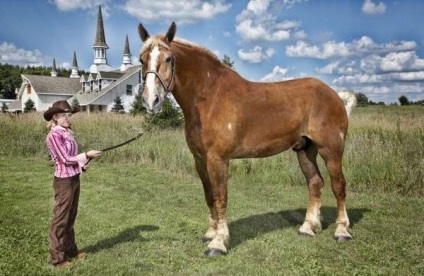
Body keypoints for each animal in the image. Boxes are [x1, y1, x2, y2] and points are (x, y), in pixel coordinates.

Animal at [137, 22, 356, 256]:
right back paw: (308, 227)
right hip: (305, 150)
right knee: (315, 183)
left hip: (331, 150)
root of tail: (335, 95)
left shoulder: (218, 159)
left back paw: (342, 231)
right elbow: (209, 196)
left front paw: (219, 243)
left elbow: (220, 197)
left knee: (338, 186)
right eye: (142, 59)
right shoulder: (200, 160)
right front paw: (210, 233)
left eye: (169, 58)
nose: (151, 101)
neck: (210, 97)